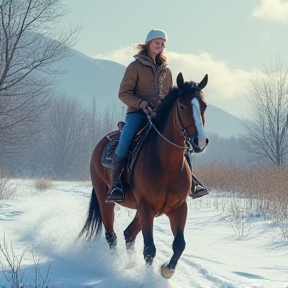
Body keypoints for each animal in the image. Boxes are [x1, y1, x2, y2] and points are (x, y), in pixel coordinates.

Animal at [79, 72, 209, 280]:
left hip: (142, 210)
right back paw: (113, 265)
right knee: (111, 236)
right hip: (105, 200)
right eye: (182, 106)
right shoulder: (146, 206)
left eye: (204, 106)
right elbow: (149, 249)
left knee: (129, 234)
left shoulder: (178, 208)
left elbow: (179, 244)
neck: (166, 164)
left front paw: (166, 270)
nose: (200, 142)